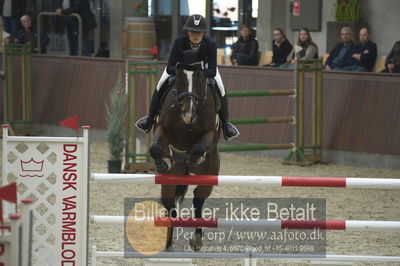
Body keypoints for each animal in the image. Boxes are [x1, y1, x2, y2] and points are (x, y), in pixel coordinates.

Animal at [149, 60, 220, 251]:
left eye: (201, 78)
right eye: (179, 79)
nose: (189, 114)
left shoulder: (209, 134)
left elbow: (199, 148)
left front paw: (193, 159)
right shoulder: (162, 129)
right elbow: (155, 148)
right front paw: (164, 162)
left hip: (210, 174)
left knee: (198, 199)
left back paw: (197, 239)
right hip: (169, 182)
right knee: (170, 206)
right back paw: (168, 244)